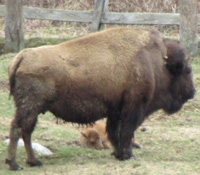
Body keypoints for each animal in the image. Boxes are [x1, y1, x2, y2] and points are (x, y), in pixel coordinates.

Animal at [5, 26, 195, 170]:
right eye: (186, 70)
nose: (192, 92)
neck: (156, 63)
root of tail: (22, 56)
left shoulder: (115, 112)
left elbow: (114, 132)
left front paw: (118, 154)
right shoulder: (133, 109)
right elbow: (126, 132)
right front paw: (128, 156)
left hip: (33, 110)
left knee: (26, 131)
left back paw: (33, 161)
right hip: (30, 108)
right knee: (18, 129)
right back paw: (14, 164)